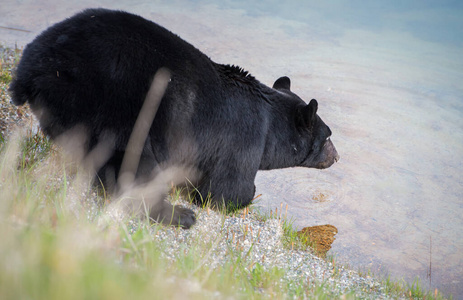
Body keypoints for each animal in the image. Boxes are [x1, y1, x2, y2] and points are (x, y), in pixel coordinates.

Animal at [9, 8, 338, 229]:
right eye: (329, 136)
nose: (337, 156)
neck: (270, 125)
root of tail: (33, 70)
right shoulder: (244, 137)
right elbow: (226, 188)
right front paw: (245, 196)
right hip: (115, 108)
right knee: (134, 167)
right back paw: (178, 215)